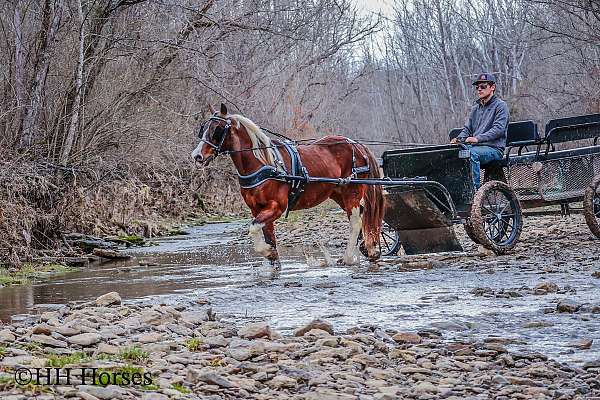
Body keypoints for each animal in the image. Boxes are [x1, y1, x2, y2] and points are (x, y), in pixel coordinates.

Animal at [190, 104, 382, 270]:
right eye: (203, 128)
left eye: (216, 129)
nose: (197, 156)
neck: (263, 163)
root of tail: (356, 145)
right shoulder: (257, 209)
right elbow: (268, 236)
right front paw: (273, 259)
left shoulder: (276, 207)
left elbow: (254, 228)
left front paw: (268, 253)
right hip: (339, 194)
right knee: (361, 215)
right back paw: (367, 249)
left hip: (352, 192)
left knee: (355, 221)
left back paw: (348, 258)